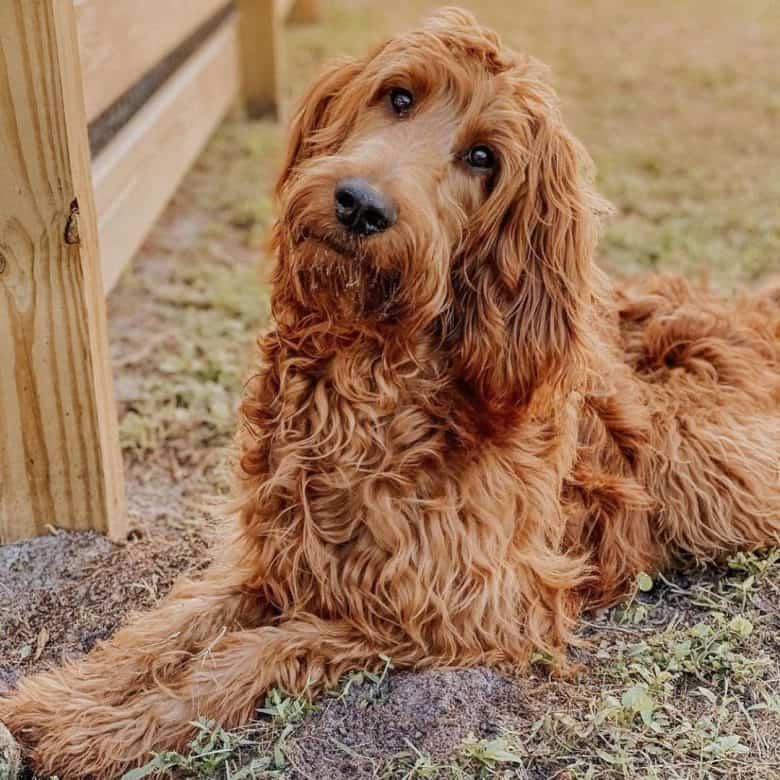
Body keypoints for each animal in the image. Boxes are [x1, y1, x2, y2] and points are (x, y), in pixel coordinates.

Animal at [1, 7, 780, 780]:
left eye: (483, 159)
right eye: (399, 97)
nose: (360, 205)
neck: (366, 374)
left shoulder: (462, 612)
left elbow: (255, 653)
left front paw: (108, 731)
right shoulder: (275, 553)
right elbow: (172, 624)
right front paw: (67, 699)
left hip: (703, 472)